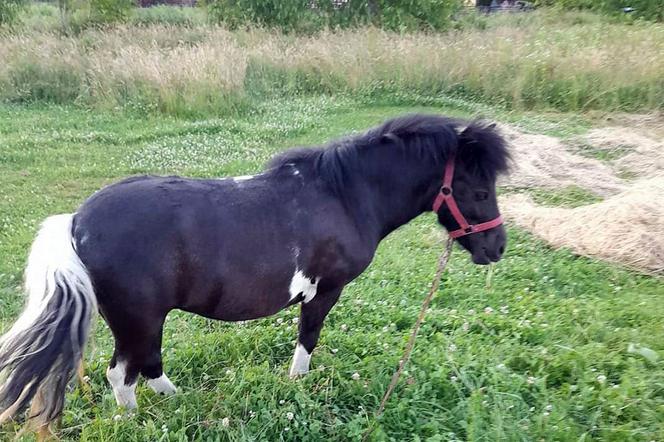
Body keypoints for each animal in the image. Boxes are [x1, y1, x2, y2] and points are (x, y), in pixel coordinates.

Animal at [0, 113, 508, 432]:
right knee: (123, 376)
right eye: (480, 191)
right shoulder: (326, 291)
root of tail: (76, 221)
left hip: (143, 321)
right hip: (138, 320)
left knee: (147, 366)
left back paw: (177, 398)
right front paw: (297, 384)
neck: (344, 195)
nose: (497, 247)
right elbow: (308, 339)